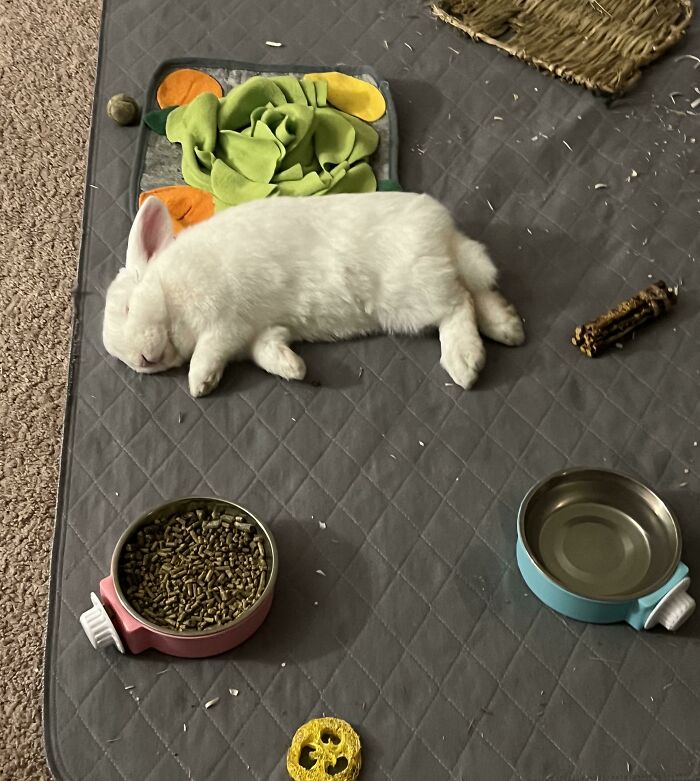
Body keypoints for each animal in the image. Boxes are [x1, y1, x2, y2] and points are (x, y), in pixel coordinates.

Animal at [103, 192, 525, 398]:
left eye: (128, 308)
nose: (143, 359)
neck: (171, 286)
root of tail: (442, 233)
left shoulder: (226, 320)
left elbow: (208, 351)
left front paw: (199, 384)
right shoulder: (255, 334)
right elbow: (268, 353)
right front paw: (296, 369)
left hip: (412, 294)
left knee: (459, 303)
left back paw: (465, 361)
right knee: (476, 289)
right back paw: (508, 326)